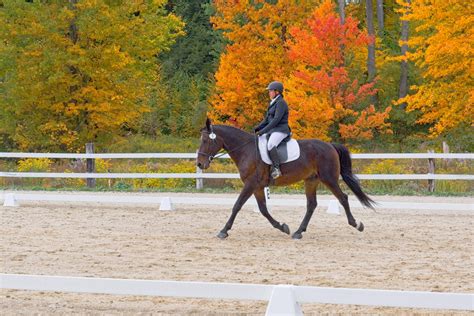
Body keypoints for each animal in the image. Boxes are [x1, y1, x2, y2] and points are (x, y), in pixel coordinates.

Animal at [196, 118, 374, 239]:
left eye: (205, 140)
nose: (199, 164)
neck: (246, 150)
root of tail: (330, 145)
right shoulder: (258, 186)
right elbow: (263, 209)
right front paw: (282, 227)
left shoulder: (250, 184)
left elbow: (237, 206)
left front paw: (223, 231)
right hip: (311, 180)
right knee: (311, 204)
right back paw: (298, 232)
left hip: (328, 178)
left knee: (343, 198)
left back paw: (356, 224)